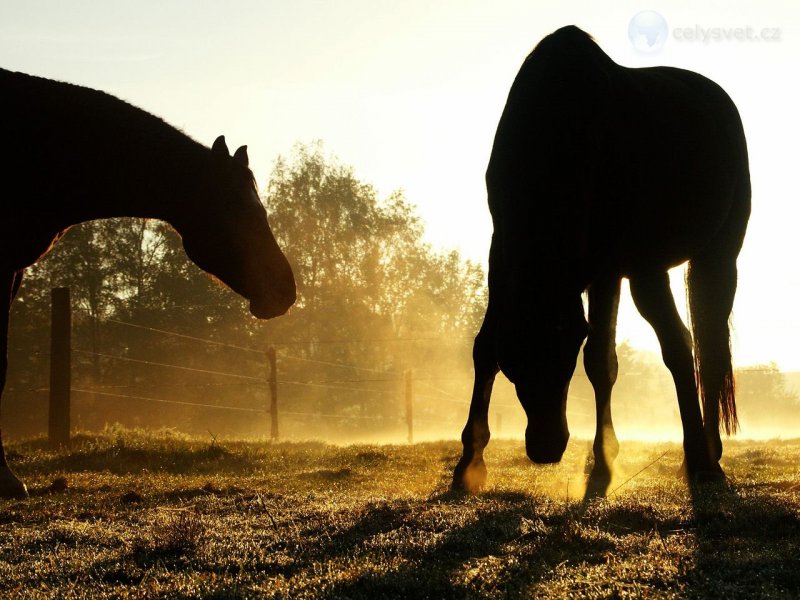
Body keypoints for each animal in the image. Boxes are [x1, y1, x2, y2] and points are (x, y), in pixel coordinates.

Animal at [454, 27, 752, 492]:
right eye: (514, 361)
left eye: (566, 351)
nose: (546, 447)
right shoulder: (501, 253)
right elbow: (484, 347)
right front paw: (469, 461)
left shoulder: (615, 267)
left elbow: (610, 358)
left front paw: (607, 460)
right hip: (647, 270)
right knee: (686, 345)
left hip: (716, 256)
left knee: (708, 348)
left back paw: (708, 458)